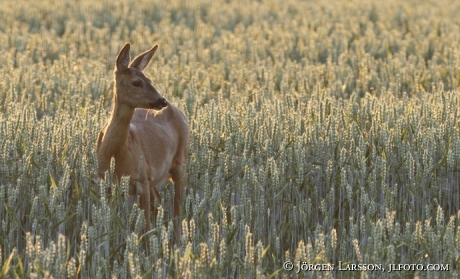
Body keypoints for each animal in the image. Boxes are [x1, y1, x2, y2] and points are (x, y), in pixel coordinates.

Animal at [96, 43, 190, 243]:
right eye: (136, 82)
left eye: (150, 79)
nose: (161, 100)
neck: (116, 153)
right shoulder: (106, 184)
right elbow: (110, 225)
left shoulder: (142, 179)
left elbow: (146, 226)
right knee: (161, 203)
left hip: (180, 162)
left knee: (177, 211)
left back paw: (178, 242)